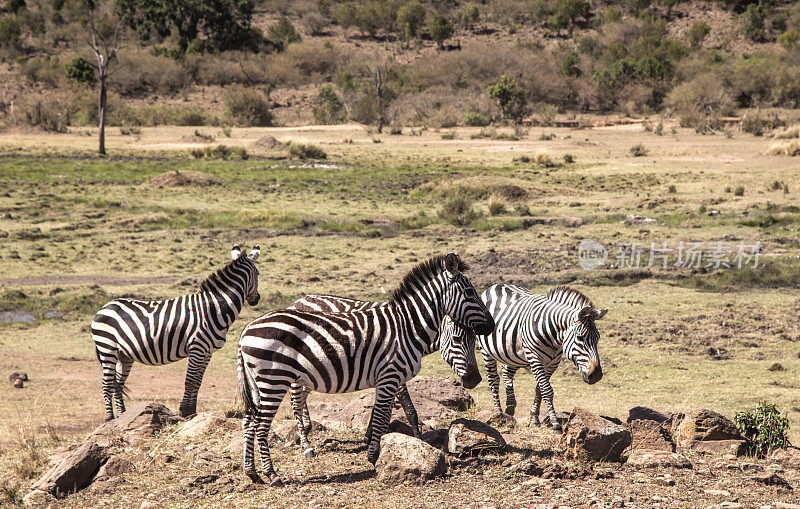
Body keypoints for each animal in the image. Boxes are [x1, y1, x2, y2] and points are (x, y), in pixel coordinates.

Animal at [91, 244, 260, 418]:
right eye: (258, 274)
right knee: (107, 384)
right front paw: (184, 411)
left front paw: (192, 411)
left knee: (118, 384)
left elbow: (198, 382)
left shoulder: (207, 352)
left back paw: (122, 416)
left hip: (124, 354)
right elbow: (190, 381)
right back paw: (110, 418)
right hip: (107, 347)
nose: (257, 299)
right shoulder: (197, 348)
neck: (214, 307)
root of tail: (105, 306)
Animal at [286, 294, 476, 444]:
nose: (475, 379)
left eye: (476, 339)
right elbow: (408, 409)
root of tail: (298, 301)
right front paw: (418, 439)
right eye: (457, 339)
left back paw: (305, 428)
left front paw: (370, 436)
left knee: (302, 392)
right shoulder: (393, 370)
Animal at [476, 284, 608, 430]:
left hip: (512, 352)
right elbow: (547, 390)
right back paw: (498, 413)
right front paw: (555, 424)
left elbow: (539, 389)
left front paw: (534, 420)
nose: (596, 375)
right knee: (493, 379)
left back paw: (509, 408)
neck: (553, 336)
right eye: (580, 337)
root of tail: (496, 286)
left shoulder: (552, 363)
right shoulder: (535, 358)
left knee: (506, 372)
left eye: (598, 338)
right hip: (486, 350)